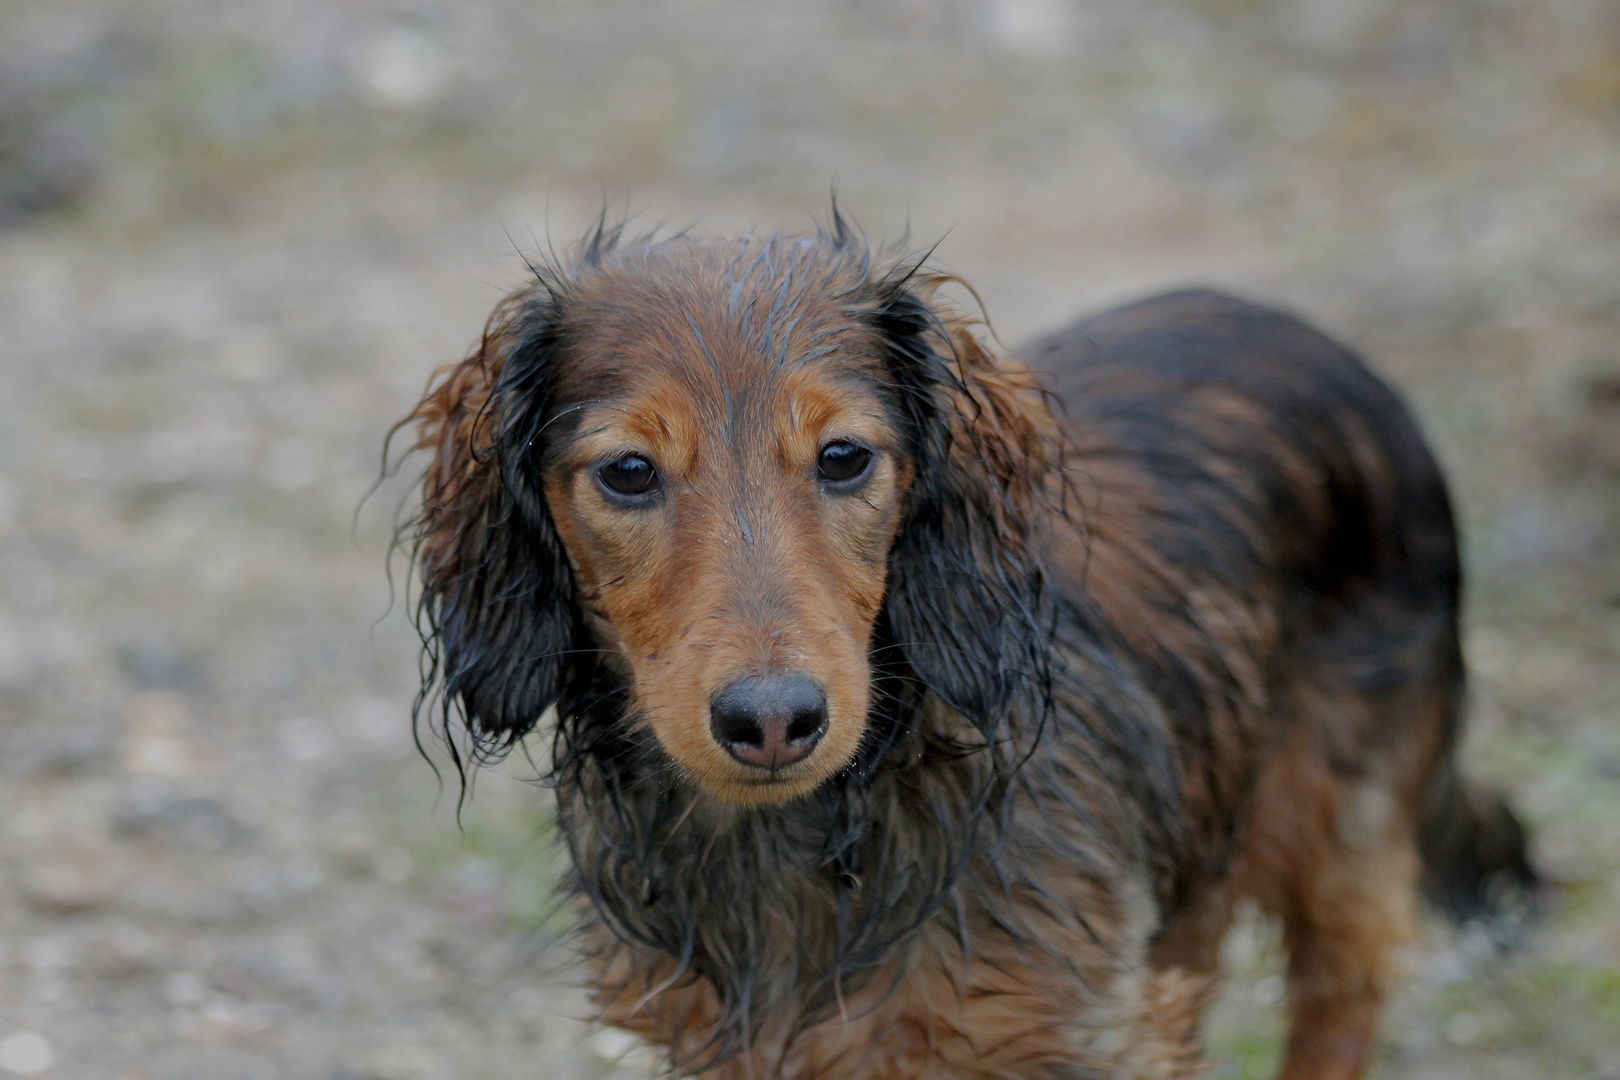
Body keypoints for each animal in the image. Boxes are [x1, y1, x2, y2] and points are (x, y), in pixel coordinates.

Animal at [398, 220, 1535, 1080]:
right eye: (628, 471)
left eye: (844, 457)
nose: (772, 720)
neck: (806, 851)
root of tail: (1301, 333)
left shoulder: (1078, 1037)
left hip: (1345, 825)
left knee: (1343, 993)